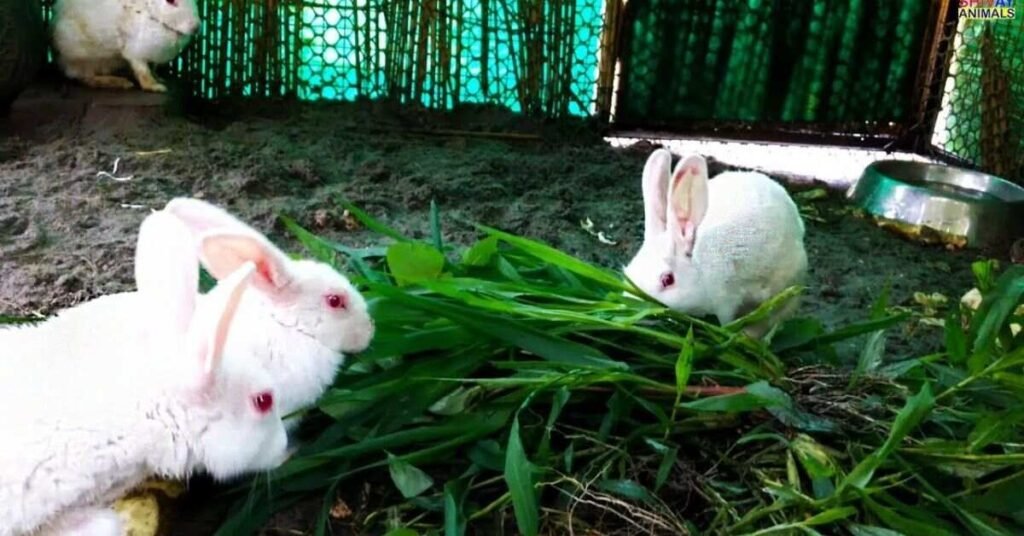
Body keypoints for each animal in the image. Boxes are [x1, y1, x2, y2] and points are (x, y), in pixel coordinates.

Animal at [51, 0, 201, 92]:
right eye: (171, 1)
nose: (197, 27)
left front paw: (158, 78)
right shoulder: (135, 52)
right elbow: (143, 71)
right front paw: (155, 86)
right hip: (82, 57)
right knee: (86, 78)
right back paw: (119, 82)